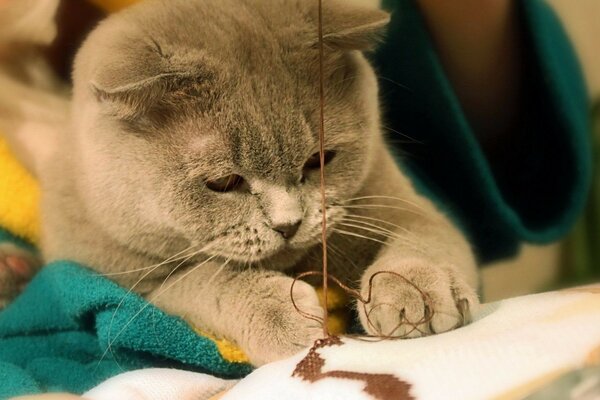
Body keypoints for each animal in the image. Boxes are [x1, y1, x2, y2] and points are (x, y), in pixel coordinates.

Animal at [0, 0, 478, 366]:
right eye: (224, 181)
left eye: (319, 160)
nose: (288, 224)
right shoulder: (130, 285)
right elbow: (206, 278)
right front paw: (280, 314)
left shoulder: (395, 202)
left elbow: (425, 237)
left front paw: (415, 291)